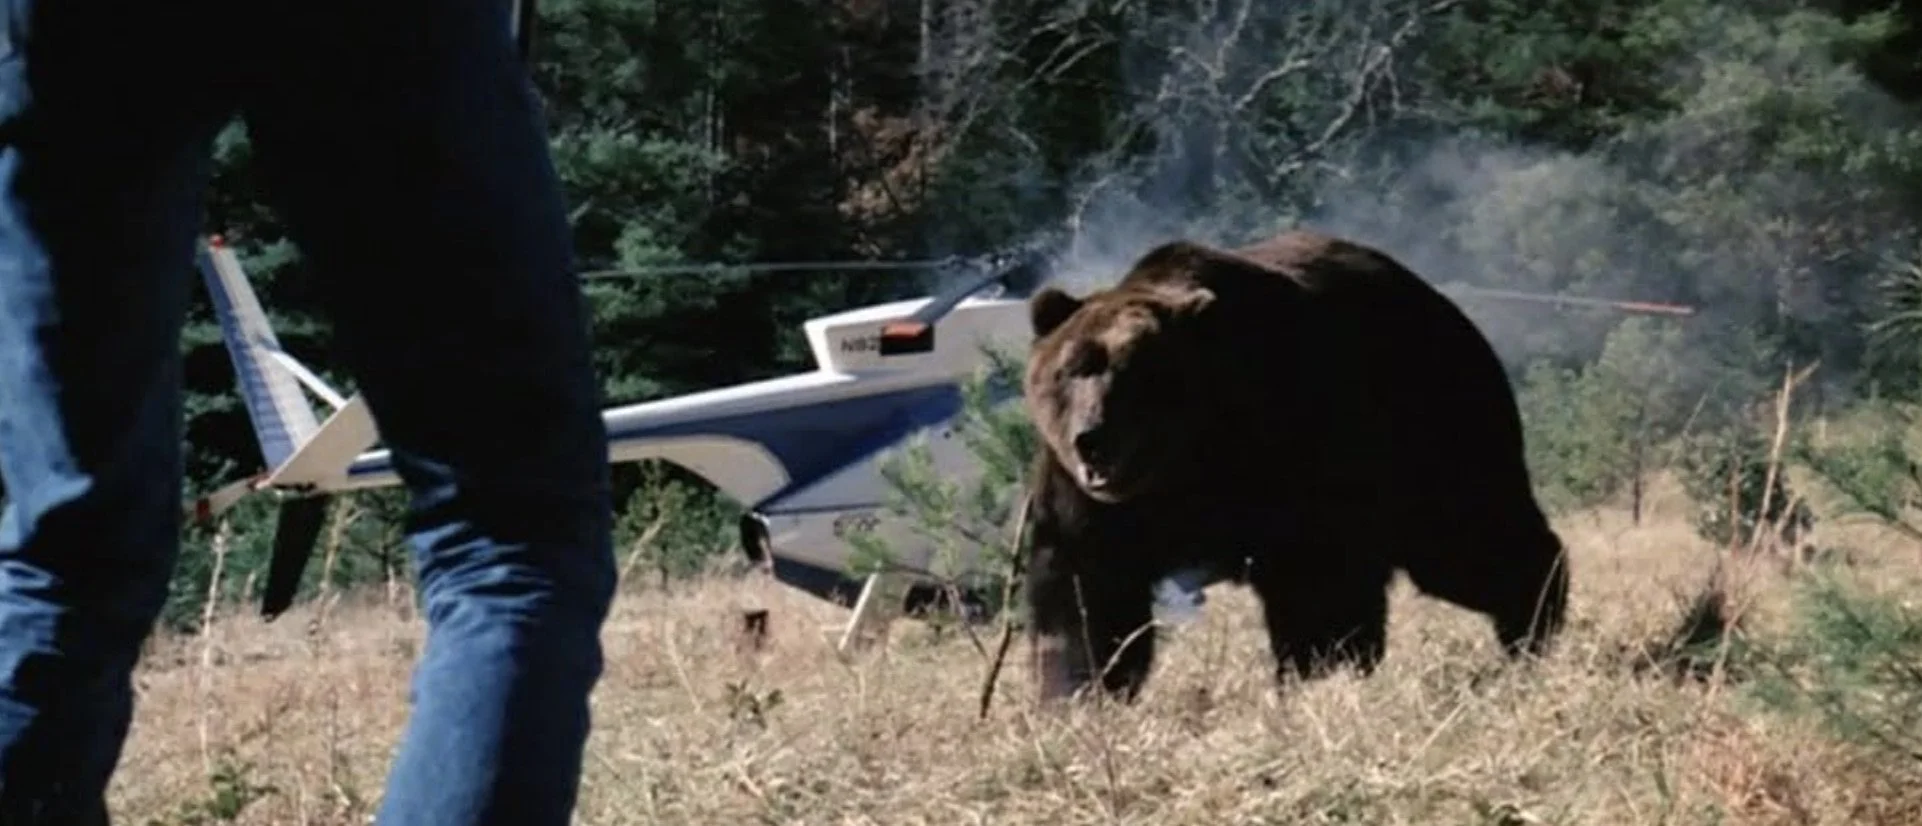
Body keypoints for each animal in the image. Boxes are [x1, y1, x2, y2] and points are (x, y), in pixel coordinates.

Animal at [1019, 228, 1571, 703]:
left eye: (1138, 375)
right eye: (1072, 370)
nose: (1092, 439)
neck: (1190, 460)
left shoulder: (1295, 449)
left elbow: (1316, 583)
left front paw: (1317, 673)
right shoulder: (1091, 504)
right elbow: (1086, 595)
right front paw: (1080, 692)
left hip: (1430, 417)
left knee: (1467, 539)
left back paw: (1534, 623)